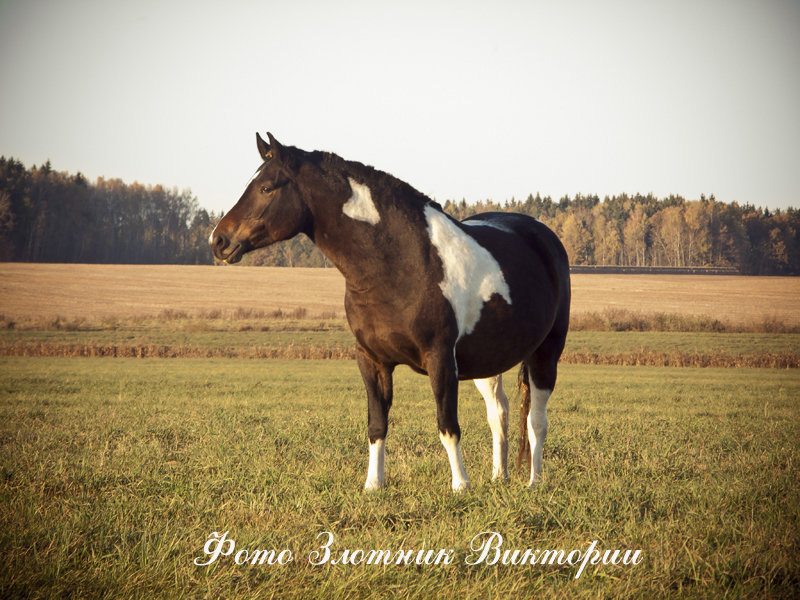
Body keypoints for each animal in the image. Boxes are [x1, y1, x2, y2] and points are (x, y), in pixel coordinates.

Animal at [206, 132, 568, 492]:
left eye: (267, 188)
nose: (218, 241)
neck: (402, 263)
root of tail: (541, 234)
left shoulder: (440, 360)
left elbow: (447, 425)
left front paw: (460, 486)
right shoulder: (372, 360)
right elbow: (377, 425)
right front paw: (373, 484)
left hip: (546, 353)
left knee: (536, 419)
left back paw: (534, 482)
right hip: (488, 361)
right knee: (499, 412)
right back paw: (498, 475)